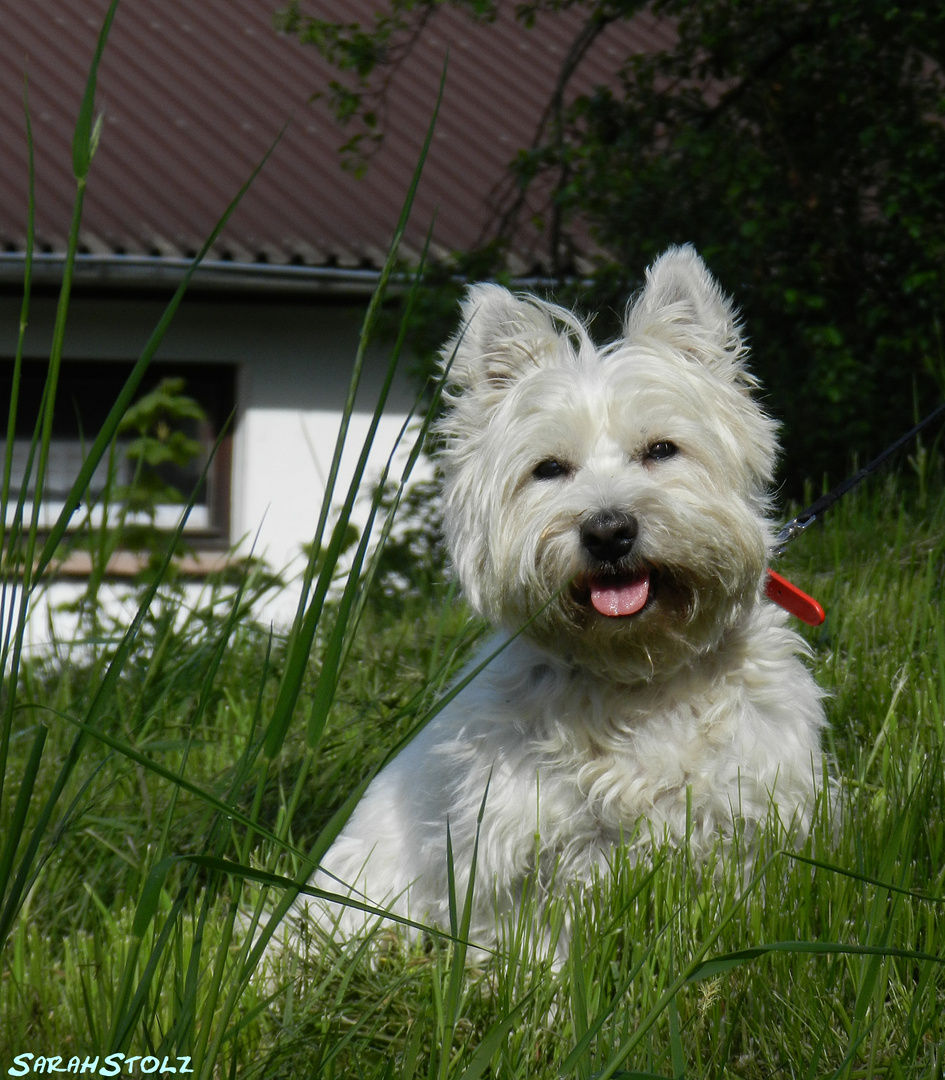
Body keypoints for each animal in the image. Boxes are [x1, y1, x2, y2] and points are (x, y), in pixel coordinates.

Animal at [287, 243, 829, 954]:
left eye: (662, 450)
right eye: (548, 469)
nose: (608, 531)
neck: (638, 676)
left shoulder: (749, 815)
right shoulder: (524, 847)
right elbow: (535, 945)